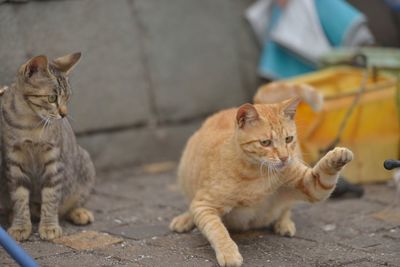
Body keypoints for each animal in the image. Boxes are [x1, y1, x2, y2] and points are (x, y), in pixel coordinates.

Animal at [0, 53, 95, 242]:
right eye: (52, 98)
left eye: (67, 98)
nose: (64, 114)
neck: (29, 123)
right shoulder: (13, 161)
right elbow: (19, 197)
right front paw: (20, 226)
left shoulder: (54, 160)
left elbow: (51, 196)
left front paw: (49, 226)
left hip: (85, 165)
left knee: (73, 201)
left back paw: (79, 212)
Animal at [170, 99, 352, 267]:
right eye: (265, 143)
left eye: (288, 139)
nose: (285, 158)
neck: (256, 174)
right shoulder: (203, 205)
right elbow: (217, 229)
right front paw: (228, 252)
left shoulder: (311, 185)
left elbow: (323, 175)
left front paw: (337, 157)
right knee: (191, 206)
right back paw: (185, 219)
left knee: (286, 208)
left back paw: (283, 223)